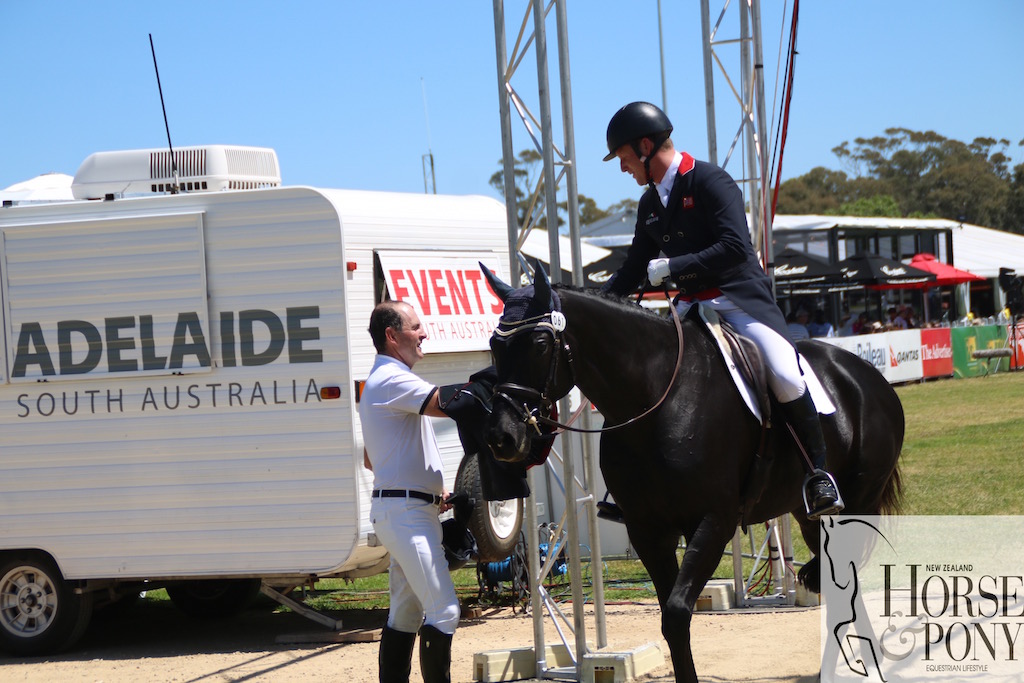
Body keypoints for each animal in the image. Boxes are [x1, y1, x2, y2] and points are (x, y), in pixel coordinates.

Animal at [481, 266, 905, 683]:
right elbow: (670, 619)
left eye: (539, 343)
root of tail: (867, 374)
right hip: (808, 518)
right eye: (494, 346)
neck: (657, 399)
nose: (502, 437)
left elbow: (677, 613)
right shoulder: (649, 530)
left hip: (855, 502)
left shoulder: (714, 521)